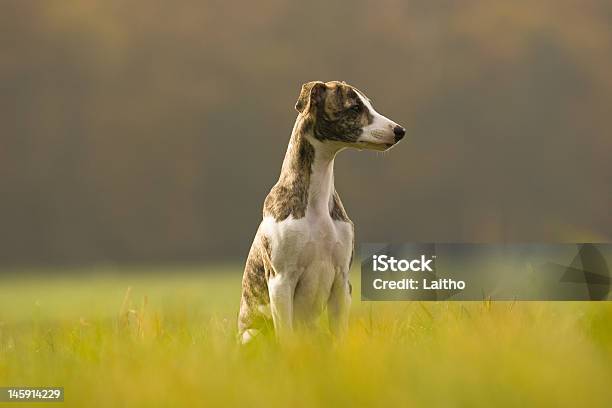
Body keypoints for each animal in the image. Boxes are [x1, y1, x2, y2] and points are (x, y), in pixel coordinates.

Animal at [239, 81, 406, 342]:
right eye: (354, 107)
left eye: (369, 105)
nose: (400, 131)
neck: (316, 203)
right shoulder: (280, 281)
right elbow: (287, 338)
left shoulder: (342, 281)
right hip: (252, 334)